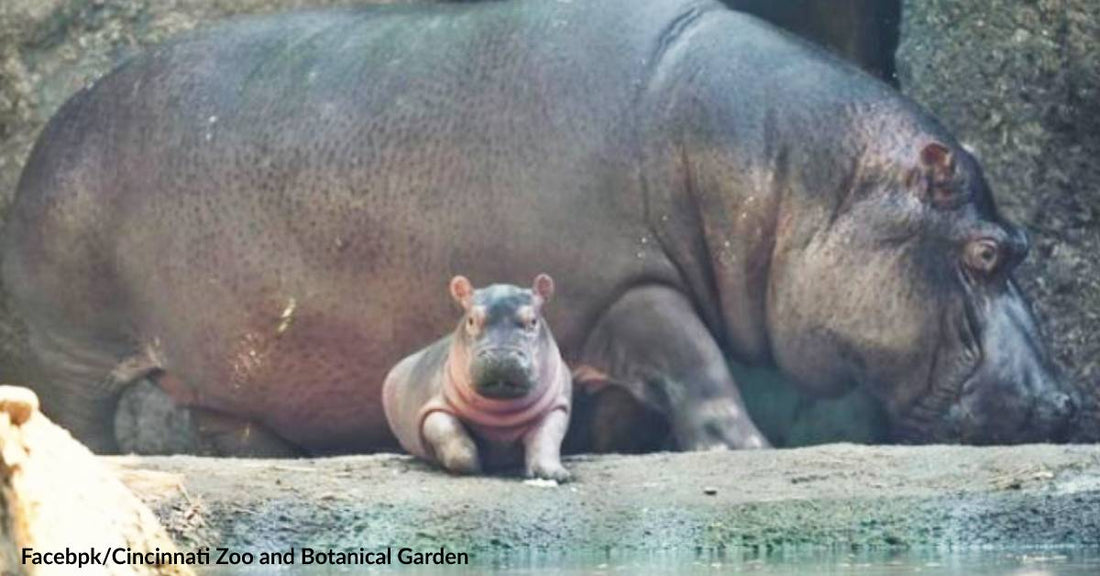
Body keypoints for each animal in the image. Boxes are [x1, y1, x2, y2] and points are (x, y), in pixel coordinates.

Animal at [0, 0, 1078, 455]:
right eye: (985, 251)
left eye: (1023, 246)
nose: (1068, 402)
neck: (789, 178)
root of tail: (49, 131)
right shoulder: (628, 287)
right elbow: (698, 367)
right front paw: (748, 451)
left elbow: (623, 400)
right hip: (70, 344)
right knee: (78, 414)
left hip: (233, 364)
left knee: (233, 423)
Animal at [385, 274, 572, 481]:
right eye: (471, 320)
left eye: (533, 321)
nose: (501, 356)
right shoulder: (435, 406)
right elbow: (451, 438)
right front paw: (472, 465)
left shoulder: (556, 407)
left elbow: (547, 438)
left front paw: (556, 474)